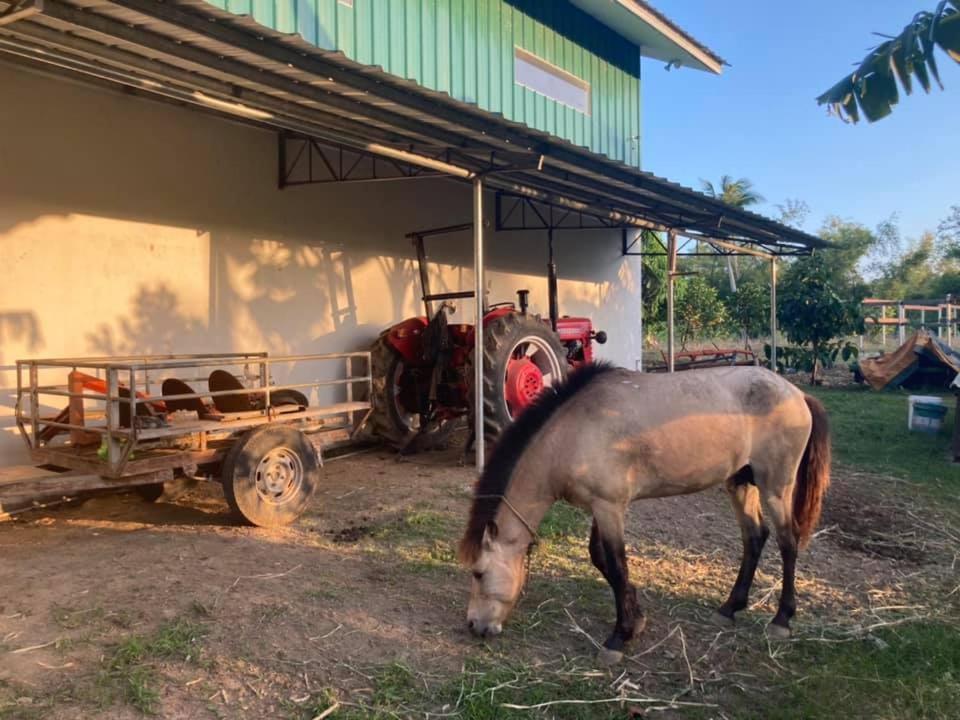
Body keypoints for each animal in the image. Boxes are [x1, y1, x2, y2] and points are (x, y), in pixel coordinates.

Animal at [456, 362, 824, 660]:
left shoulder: (610, 507)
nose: (474, 625)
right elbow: (600, 559)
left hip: (776, 488)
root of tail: (797, 394)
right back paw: (730, 607)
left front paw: (618, 638)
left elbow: (618, 567)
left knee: (788, 543)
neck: (573, 433)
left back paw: (781, 619)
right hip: (740, 483)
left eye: (478, 573)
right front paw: (637, 619)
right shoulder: (601, 507)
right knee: (755, 537)